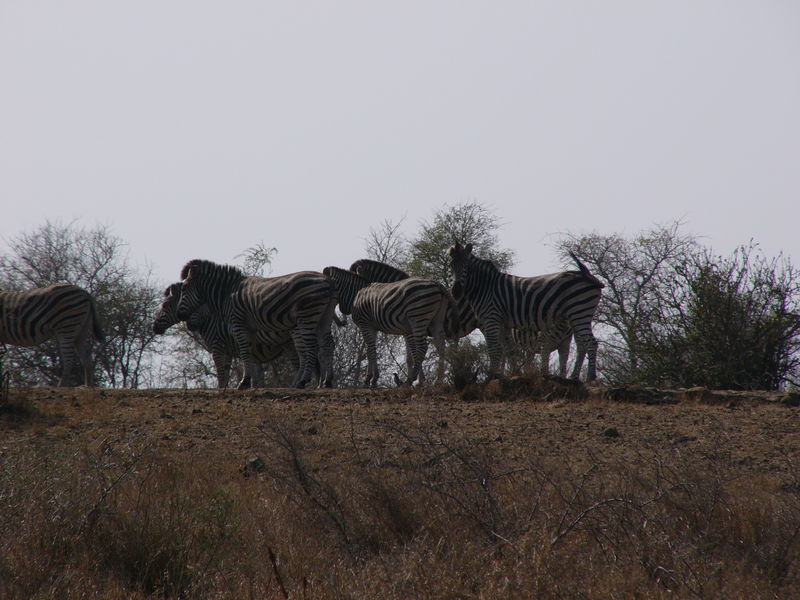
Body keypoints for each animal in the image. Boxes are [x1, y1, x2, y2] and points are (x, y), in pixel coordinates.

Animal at [153, 282, 296, 390]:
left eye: (165, 305)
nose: (154, 327)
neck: (210, 319)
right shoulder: (228, 352)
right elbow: (226, 375)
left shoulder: (218, 349)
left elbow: (221, 376)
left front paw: (221, 391)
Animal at [175, 258, 338, 390]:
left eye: (184, 288)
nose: (180, 316)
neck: (228, 292)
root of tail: (327, 279)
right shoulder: (251, 329)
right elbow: (250, 353)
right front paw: (251, 383)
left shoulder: (237, 324)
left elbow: (243, 352)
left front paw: (243, 383)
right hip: (324, 317)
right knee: (327, 344)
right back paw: (327, 382)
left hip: (307, 315)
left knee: (311, 347)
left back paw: (303, 382)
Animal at [320, 266, 456, 386]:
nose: (340, 321)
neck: (356, 294)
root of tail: (437, 284)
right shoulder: (373, 327)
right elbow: (369, 351)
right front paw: (370, 378)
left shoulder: (365, 324)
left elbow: (371, 350)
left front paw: (371, 379)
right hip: (436, 321)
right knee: (440, 345)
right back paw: (438, 380)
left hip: (417, 318)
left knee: (423, 346)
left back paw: (411, 379)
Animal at [446, 243, 604, 380]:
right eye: (450, 265)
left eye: (466, 266)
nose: (456, 291)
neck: (485, 287)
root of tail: (588, 276)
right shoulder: (503, 323)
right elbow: (505, 349)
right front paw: (502, 375)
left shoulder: (491, 318)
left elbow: (493, 348)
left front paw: (491, 376)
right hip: (576, 316)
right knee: (582, 345)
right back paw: (574, 377)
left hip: (579, 311)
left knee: (591, 343)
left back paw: (590, 377)